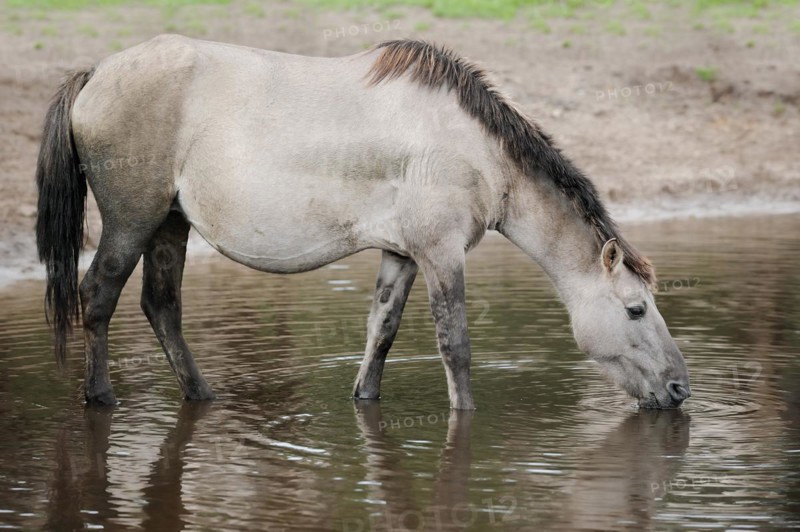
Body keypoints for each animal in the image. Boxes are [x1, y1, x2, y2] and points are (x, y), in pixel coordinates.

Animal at [35, 36, 691, 410]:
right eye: (636, 309)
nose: (681, 389)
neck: (472, 149)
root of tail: (96, 75)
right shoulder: (441, 254)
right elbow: (455, 345)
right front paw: (465, 415)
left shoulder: (401, 254)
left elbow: (382, 330)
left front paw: (365, 399)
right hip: (132, 220)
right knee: (98, 295)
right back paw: (100, 398)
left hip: (170, 223)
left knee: (161, 305)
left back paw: (201, 397)